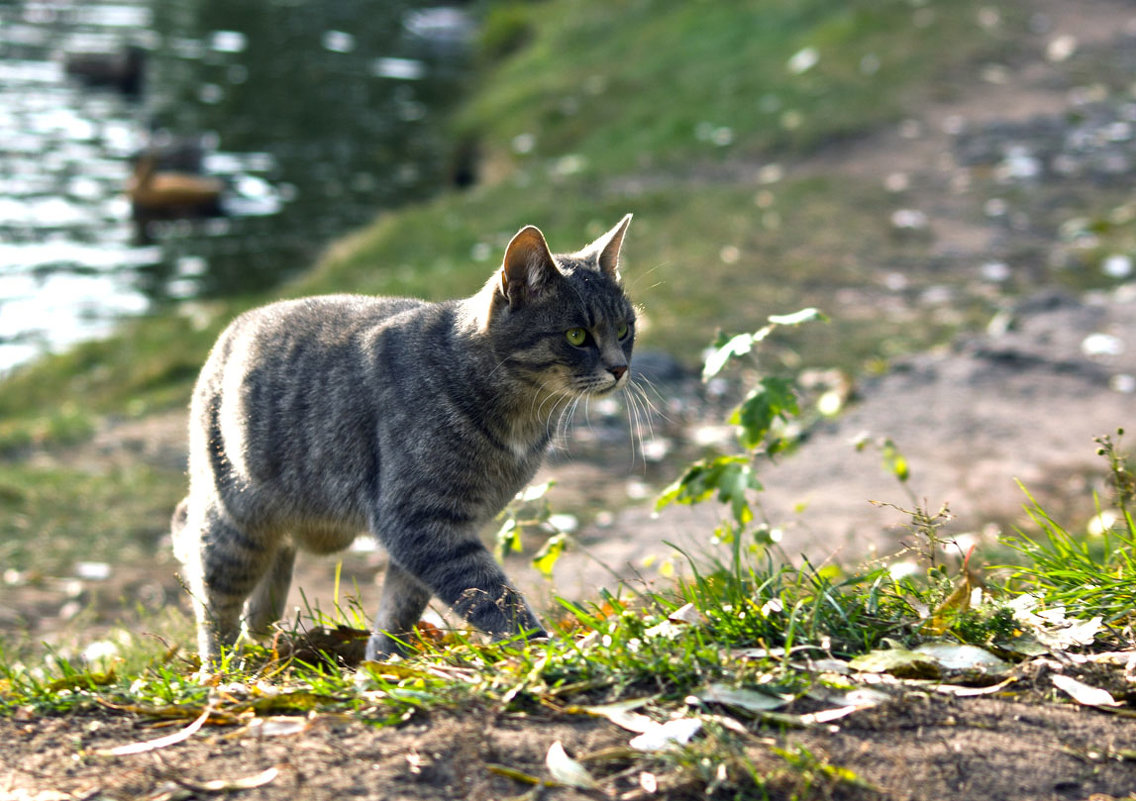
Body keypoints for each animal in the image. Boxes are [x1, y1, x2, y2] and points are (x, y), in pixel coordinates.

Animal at [174, 212, 640, 663]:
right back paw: (220, 671)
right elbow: (492, 598)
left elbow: (398, 612)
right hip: (233, 525)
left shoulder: (434, 532)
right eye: (577, 335)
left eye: (624, 329)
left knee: (264, 597)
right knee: (213, 607)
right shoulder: (420, 522)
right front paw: (545, 651)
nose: (620, 368)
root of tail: (232, 328)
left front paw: (381, 667)